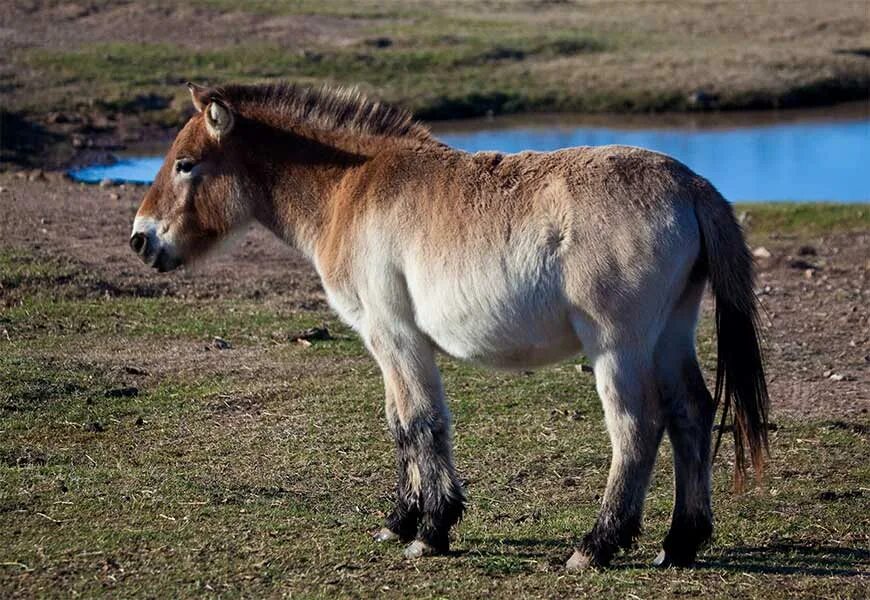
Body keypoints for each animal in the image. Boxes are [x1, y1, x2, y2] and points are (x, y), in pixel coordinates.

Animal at [129, 82, 768, 568]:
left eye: (185, 165)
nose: (140, 240)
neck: (350, 189)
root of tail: (692, 185)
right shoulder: (386, 341)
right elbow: (399, 424)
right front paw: (400, 520)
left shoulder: (394, 334)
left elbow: (419, 422)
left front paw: (431, 531)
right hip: (670, 334)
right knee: (691, 412)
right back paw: (680, 544)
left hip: (618, 346)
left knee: (637, 428)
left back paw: (595, 546)